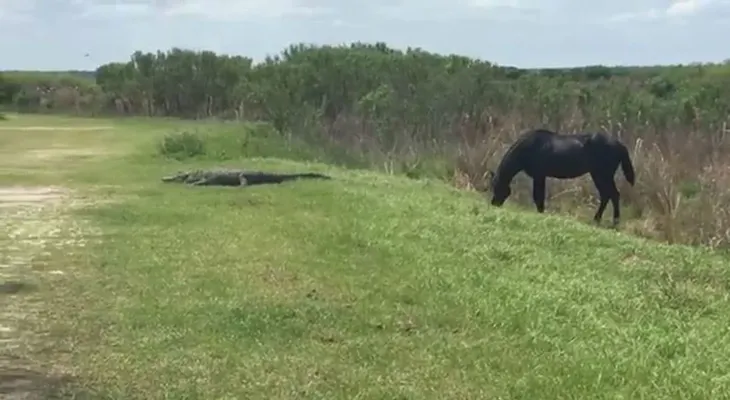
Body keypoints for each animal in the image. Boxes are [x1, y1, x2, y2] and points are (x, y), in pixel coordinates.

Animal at [487, 128, 636, 226]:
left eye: (498, 187)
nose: (494, 204)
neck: (529, 147)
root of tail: (620, 145)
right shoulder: (540, 176)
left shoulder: (539, 175)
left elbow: (538, 196)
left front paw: (541, 213)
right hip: (599, 175)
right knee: (607, 195)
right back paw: (598, 219)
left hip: (602, 174)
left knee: (613, 194)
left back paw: (613, 222)